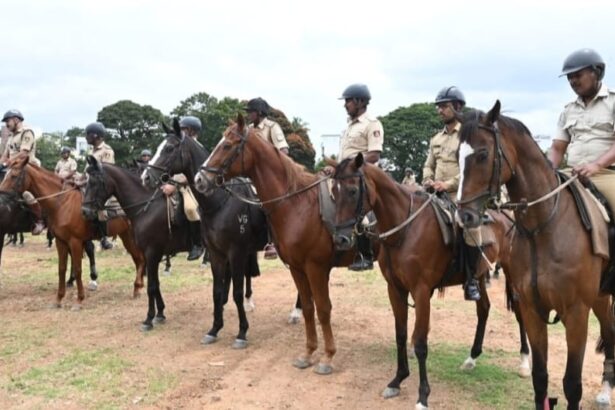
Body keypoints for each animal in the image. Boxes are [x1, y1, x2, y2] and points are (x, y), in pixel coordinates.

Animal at [0, 155, 147, 310]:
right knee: (138, 259)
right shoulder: (61, 241)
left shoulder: (75, 241)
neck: (62, 203)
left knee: (140, 258)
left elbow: (77, 269)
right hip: (126, 236)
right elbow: (62, 268)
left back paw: (138, 286)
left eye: (14, 175)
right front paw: (58, 299)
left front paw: (79, 300)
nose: (1, 195)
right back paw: (137, 288)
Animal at [144, 119, 272, 346]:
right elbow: (217, 291)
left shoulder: (236, 252)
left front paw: (242, 332)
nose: (146, 177)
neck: (219, 203)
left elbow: (237, 292)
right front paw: (214, 328)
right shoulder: (216, 253)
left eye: (169, 148)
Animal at [196, 113, 380, 374]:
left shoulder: (315, 267)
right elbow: (310, 308)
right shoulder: (296, 267)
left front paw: (327, 357)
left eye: (228, 145)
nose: (200, 179)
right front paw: (308, 353)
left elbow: (323, 308)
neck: (297, 204)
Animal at [332, 153, 528, 406]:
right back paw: (472, 358)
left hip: (512, 275)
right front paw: (397, 380)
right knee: (484, 309)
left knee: (521, 314)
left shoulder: (421, 291)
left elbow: (420, 343)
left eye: (353, 190)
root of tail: (506, 216)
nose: (341, 239)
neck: (404, 231)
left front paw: (423, 396)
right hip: (478, 276)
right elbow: (401, 334)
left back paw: (524, 362)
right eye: (333, 192)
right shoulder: (395, 289)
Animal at [454, 101, 615, 408]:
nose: (464, 216)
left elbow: (572, 384)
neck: (544, 228)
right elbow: (540, 378)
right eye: (457, 155)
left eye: (482, 153)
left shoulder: (576, 313)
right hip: (600, 297)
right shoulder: (532, 309)